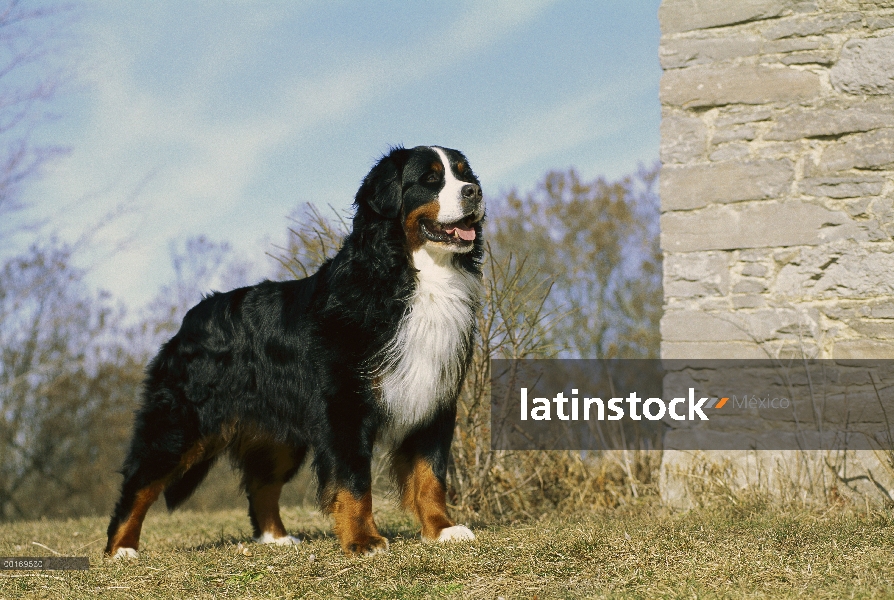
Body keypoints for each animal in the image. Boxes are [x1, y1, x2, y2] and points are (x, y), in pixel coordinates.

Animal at [107, 144, 486, 556]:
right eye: (430, 179)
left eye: (465, 174)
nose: (474, 192)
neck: (414, 278)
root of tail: (192, 316)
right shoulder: (344, 406)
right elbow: (354, 480)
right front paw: (363, 539)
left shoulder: (434, 396)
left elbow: (430, 473)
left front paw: (442, 529)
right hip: (181, 422)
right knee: (139, 483)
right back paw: (121, 549)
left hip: (279, 434)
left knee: (261, 485)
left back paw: (275, 537)